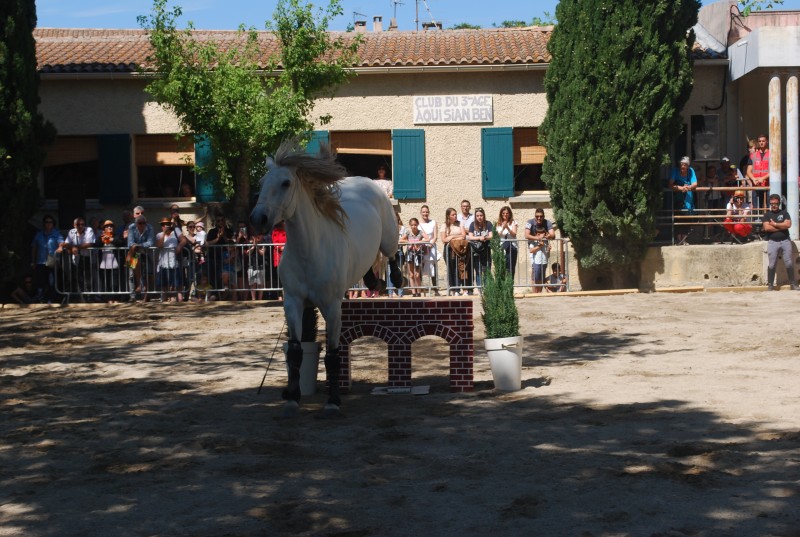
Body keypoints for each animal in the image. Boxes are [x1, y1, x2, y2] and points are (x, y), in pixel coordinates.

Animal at [250, 139, 400, 414]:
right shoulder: (294, 303)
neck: (310, 251)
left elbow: (332, 355)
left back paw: (395, 279)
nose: (258, 219)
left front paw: (332, 402)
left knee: (393, 253)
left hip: (389, 237)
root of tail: (365, 180)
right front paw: (292, 398)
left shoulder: (331, 307)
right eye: (262, 182)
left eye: (286, 183)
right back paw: (375, 282)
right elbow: (295, 352)